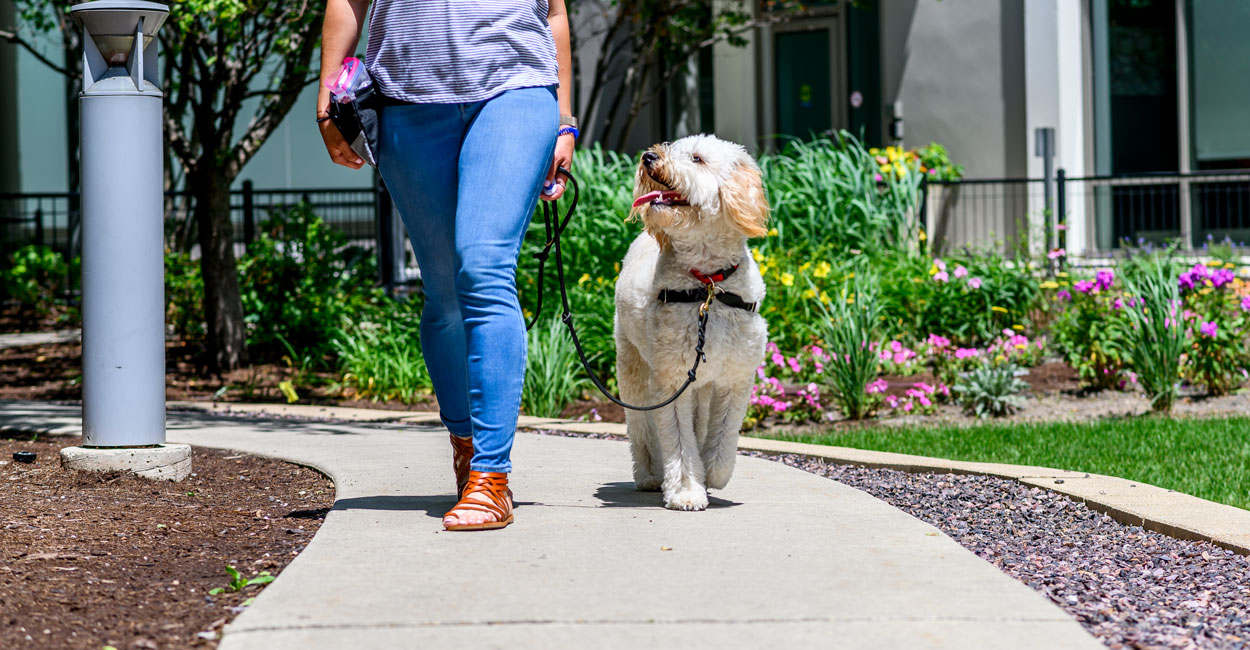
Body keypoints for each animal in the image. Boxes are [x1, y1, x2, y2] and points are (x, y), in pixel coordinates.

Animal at [610, 134, 765, 510]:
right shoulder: (669, 382)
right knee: (641, 426)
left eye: (697, 158)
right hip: (634, 370)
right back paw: (650, 474)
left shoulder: (734, 379)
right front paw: (686, 491)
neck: (707, 285)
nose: (649, 156)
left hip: (702, 384)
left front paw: (712, 474)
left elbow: (723, 437)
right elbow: (679, 442)